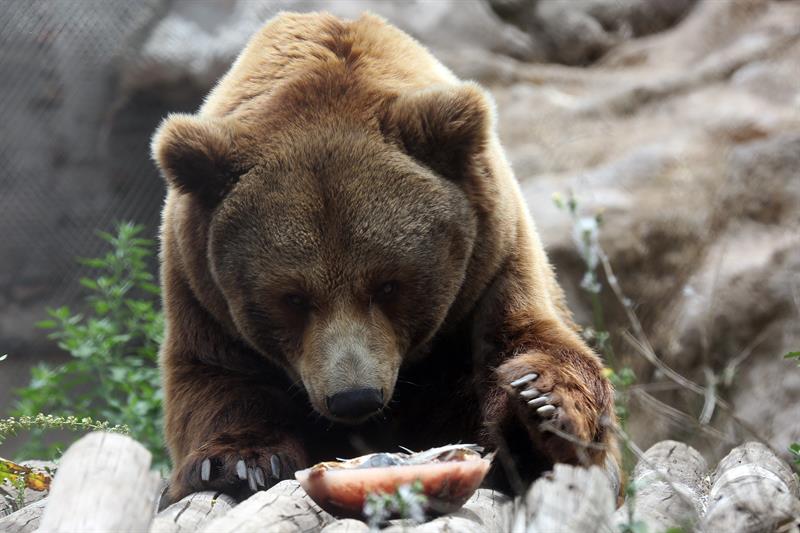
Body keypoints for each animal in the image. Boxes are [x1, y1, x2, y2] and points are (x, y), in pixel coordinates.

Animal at [151, 11, 617, 503]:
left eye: (389, 285)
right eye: (293, 298)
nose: (354, 397)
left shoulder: (490, 267)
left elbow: (529, 343)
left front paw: (539, 403)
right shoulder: (200, 293)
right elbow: (217, 380)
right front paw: (242, 460)